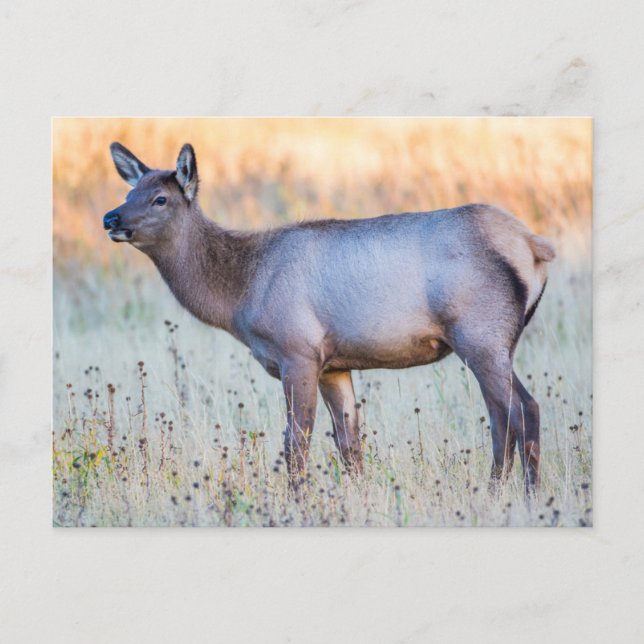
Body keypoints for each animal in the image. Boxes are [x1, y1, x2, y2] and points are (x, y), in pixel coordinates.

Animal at [105, 142, 555, 497]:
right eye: (130, 191)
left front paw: (298, 503)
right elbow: (349, 444)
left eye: (160, 199)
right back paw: (497, 493)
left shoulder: (298, 351)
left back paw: (528, 498)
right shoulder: (334, 366)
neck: (241, 293)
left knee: (521, 411)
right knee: (506, 416)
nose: (111, 218)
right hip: (493, 341)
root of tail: (534, 246)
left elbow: (296, 443)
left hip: (481, 334)